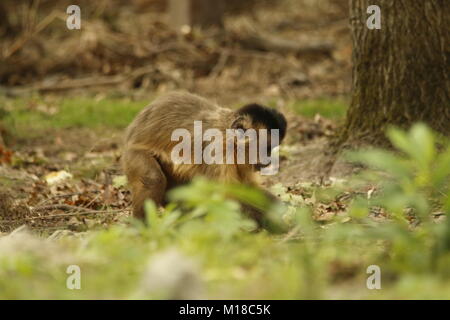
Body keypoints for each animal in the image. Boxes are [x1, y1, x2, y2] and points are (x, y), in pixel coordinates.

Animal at [121, 91, 286, 226]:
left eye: (270, 149)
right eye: (266, 148)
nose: (268, 160)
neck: (228, 137)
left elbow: (246, 188)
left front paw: (286, 210)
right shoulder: (217, 149)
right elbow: (224, 200)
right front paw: (281, 224)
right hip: (132, 153)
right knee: (153, 178)